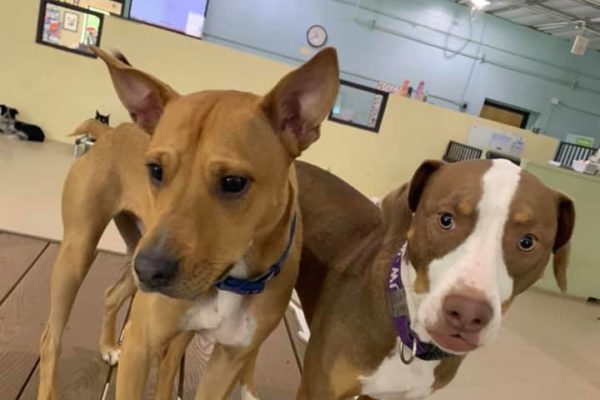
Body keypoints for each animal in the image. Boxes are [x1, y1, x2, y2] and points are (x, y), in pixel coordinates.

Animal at [35, 47, 340, 400]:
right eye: (155, 170)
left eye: (234, 182)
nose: (150, 270)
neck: (230, 281)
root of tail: (109, 132)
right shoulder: (140, 344)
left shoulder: (228, 361)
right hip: (80, 253)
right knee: (51, 338)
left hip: (135, 252)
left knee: (112, 295)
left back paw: (109, 345)